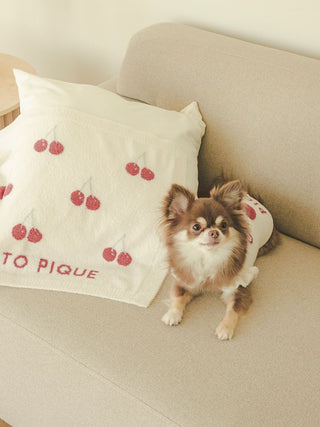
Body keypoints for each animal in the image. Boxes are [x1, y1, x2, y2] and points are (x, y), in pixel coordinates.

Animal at [161, 181, 278, 342]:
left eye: (223, 225)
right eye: (196, 227)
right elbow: (177, 296)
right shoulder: (186, 281)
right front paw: (172, 314)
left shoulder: (239, 287)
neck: (209, 258)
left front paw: (225, 328)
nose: (214, 232)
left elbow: (233, 311)